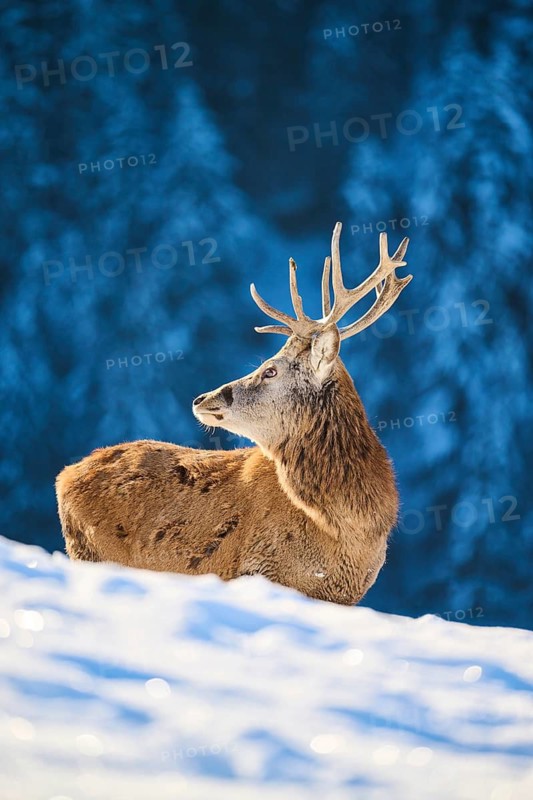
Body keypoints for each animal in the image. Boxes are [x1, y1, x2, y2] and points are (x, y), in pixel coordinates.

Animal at [56, 222, 412, 605]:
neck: (351, 530)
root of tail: (65, 477)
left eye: (270, 370)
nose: (201, 398)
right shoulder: (258, 571)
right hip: (92, 552)